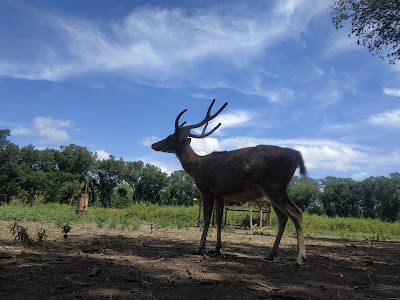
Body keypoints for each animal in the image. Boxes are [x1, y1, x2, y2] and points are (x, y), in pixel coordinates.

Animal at [152, 99, 308, 264]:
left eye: (169, 137)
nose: (153, 144)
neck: (196, 167)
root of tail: (296, 156)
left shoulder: (206, 190)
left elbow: (207, 219)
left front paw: (199, 248)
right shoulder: (220, 194)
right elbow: (219, 220)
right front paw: (217, 248)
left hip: (273, 186)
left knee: (296, 213)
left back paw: (300, 258)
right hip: (276, 190)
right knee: (283, 217)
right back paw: (271, 254)